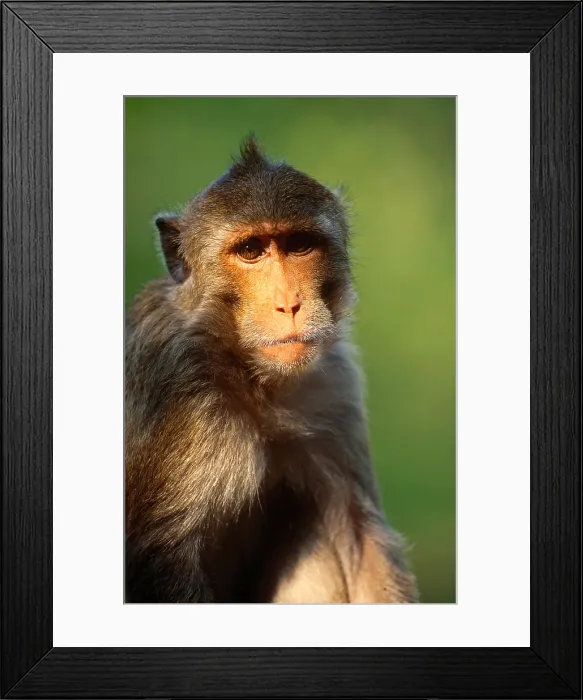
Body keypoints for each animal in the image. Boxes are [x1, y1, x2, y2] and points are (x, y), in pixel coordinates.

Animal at [125, 137, 418, 604]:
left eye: (299, 245)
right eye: (251, 251)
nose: (289, 304)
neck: (254, 378)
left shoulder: (334, 382)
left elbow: (359, 537)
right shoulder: (177, 392)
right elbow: (161, 557)